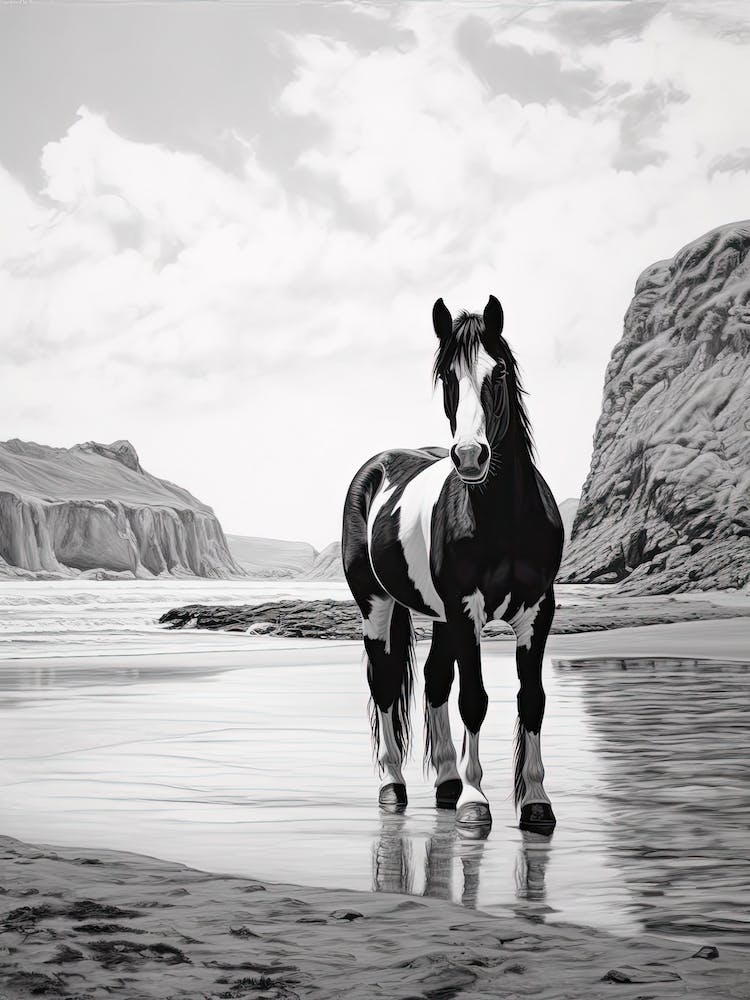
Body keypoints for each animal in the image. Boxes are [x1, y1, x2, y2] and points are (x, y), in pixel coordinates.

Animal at [342, 295, 563, 836]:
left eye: (497, 371)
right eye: (446, 376)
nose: (469, 456)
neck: (504, 519)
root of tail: (380, 464)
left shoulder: (538, 611)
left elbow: (532, 700)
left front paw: (536, 803)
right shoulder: (467, 610)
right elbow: (475, 700)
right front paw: (476, 801)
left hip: (442, 619)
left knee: (436, 679)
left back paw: (445, 782)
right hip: (377, 607)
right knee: (384, 684)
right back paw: (394, 786)